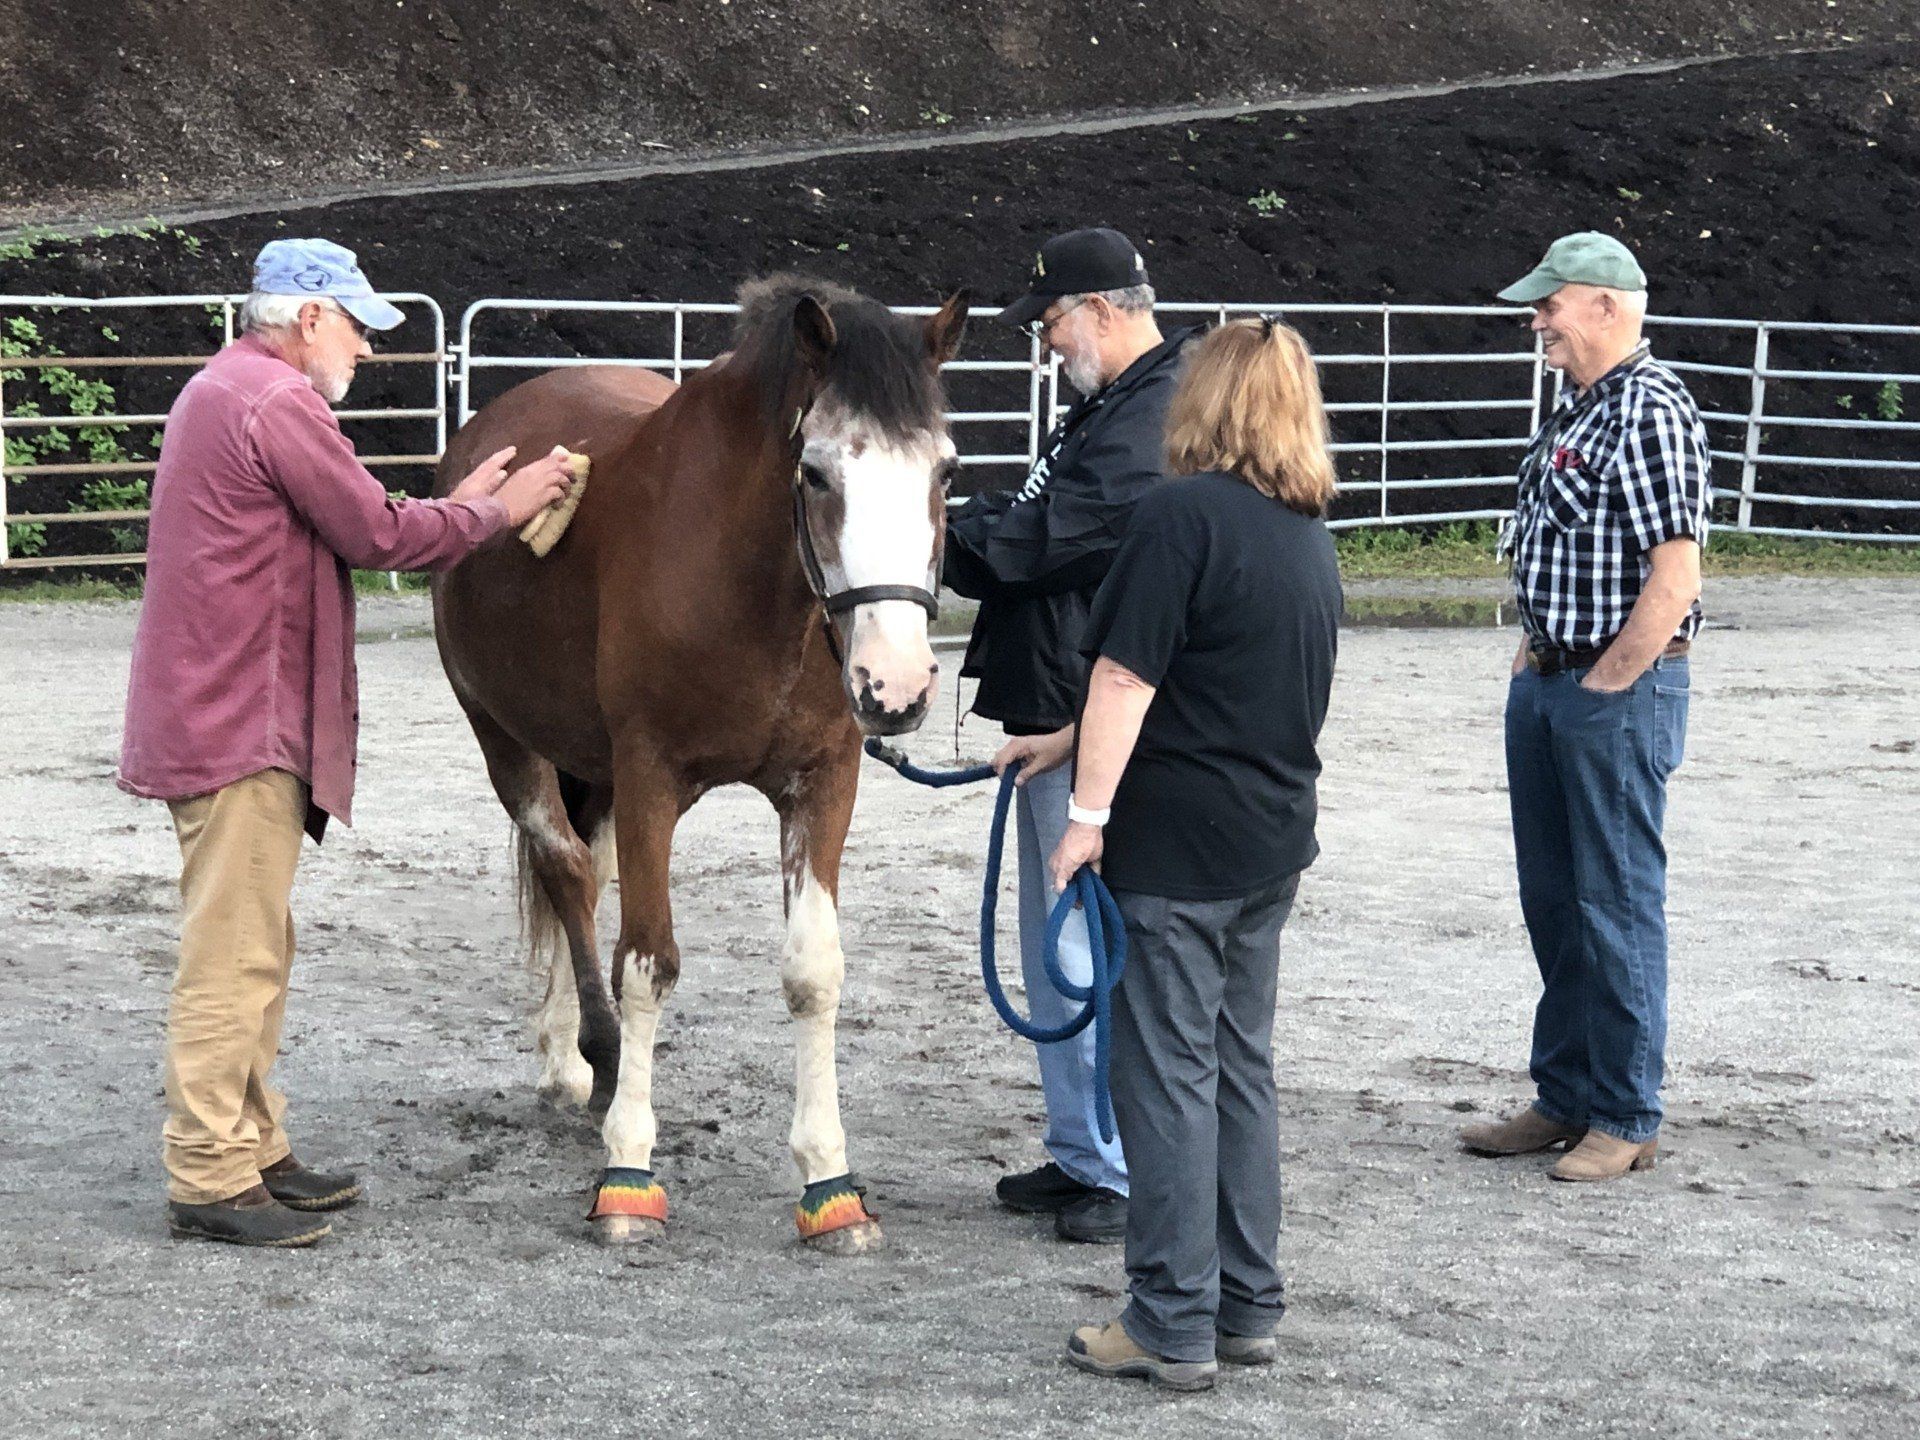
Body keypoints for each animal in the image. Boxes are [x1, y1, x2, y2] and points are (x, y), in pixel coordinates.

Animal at [439, 278, 967, 1251]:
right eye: (816, 472)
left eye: (944, 471)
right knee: (566, 870)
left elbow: (812, 971)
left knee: (585, 868)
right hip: (506, 737)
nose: (896, 684)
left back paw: (575, 1056)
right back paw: (595, 1056)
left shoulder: (823, 785)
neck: (753, 592)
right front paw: (628, 1176)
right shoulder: (652, 777)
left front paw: (830, 1183)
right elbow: (647, 963)